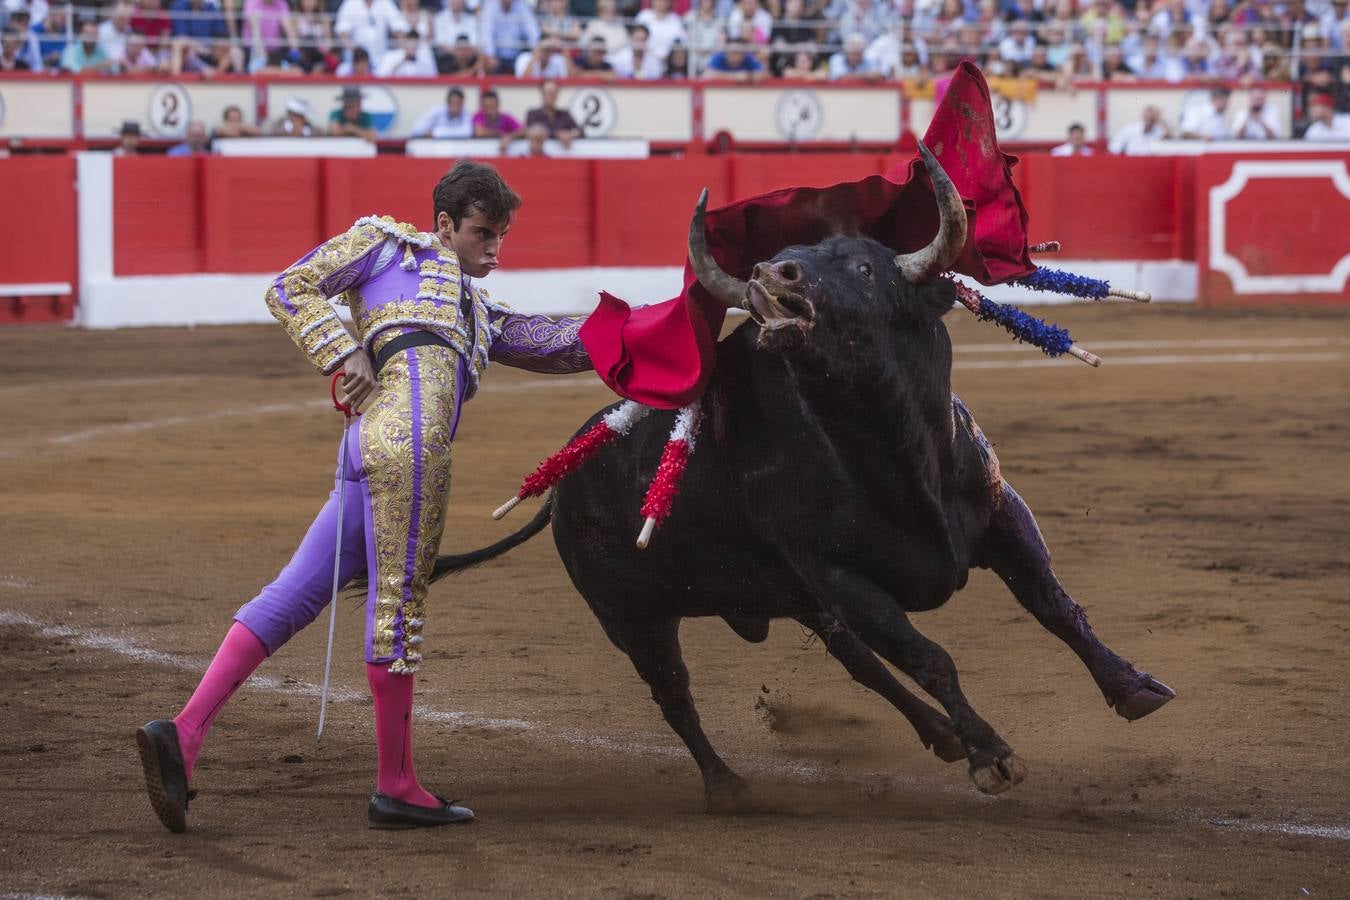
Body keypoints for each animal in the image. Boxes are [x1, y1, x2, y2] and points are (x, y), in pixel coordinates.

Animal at [429, 147, 1171, 809]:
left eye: (866, 266)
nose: (770, 274)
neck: (892, 451)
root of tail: (564, 476)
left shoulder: (997, 512)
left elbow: (1052, 603)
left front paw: (1134, 689)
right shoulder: (838, 575)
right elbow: (930, 655)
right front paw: (992, 757)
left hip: (788, 596)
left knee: (858, 662)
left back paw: (937, 736)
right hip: (632, 617)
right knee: (675, 694)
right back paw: (727, 786)